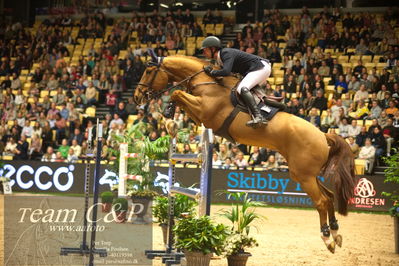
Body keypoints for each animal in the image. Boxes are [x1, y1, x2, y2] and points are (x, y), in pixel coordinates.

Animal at [134, 54, 356, 254]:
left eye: (148, 71)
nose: (137, 96)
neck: (208, 82)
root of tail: (323, 135)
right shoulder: (200, 116)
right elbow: (177, 96)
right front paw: (170, 120)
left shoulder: (204, 113)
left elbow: (176, 94)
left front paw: (170, 121)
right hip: (306, 174)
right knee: (329, 196)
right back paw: (336, 234)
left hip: (304, 176)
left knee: (321, 201)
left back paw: (327, 239)